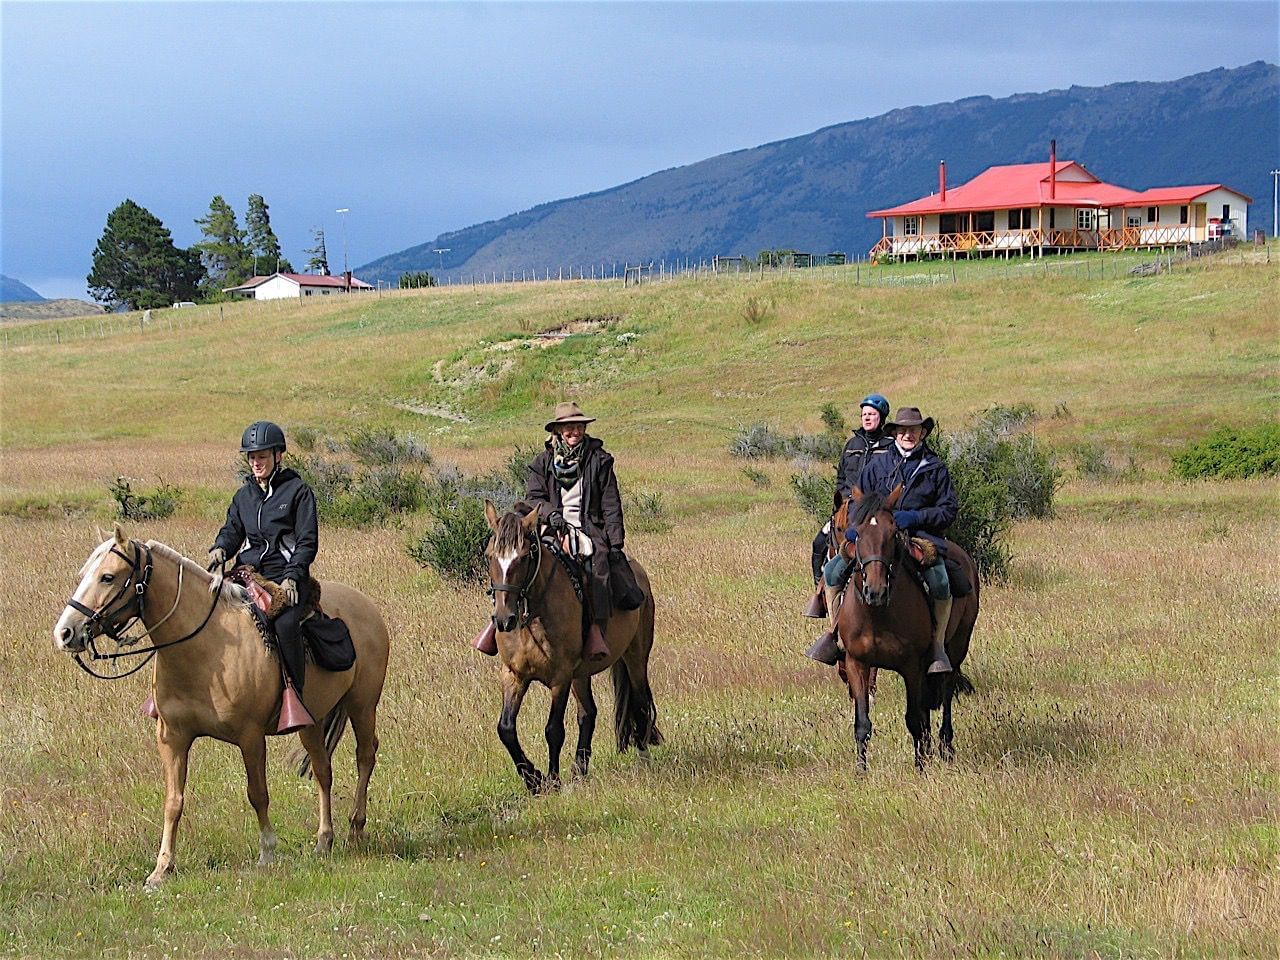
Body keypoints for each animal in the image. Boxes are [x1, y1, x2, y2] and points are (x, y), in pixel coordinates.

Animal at [51, 529, 389, 890]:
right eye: (84, 574)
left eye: (108, 576)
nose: (65, 633)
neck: (203, 649)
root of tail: (366, 606)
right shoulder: (172, 738)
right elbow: (173, 801)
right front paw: (162, 868)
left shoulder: (251, 737)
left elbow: (258, 793)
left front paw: (267, 852)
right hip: (311, 721)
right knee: (323, 770)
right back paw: (324, 840)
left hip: (362, 705)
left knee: (365, 756)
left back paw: (356, 828)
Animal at [481, 504, 660, 798]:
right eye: (490, 555)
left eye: (524, 557)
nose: (504, 620)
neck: (534, 617)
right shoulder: (513, 676)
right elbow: (505, 729)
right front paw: (533, 779)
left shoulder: (560, 678)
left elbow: (554, 729)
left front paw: (552, 780)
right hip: (581, 674)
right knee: (588, 713)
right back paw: (580, 768)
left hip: (635, 656)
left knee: (640, 702)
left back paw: (642, 758)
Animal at [829, 488, 977, 773]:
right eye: (857, 533)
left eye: (893, 533)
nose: (875, 591)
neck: (877, 614)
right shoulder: (857, 663)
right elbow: (862, 722)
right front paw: (861, 770)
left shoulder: (911, 667)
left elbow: (913, 718)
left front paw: (920, 768)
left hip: (956, 648)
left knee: (946, 694)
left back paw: (945, 747)